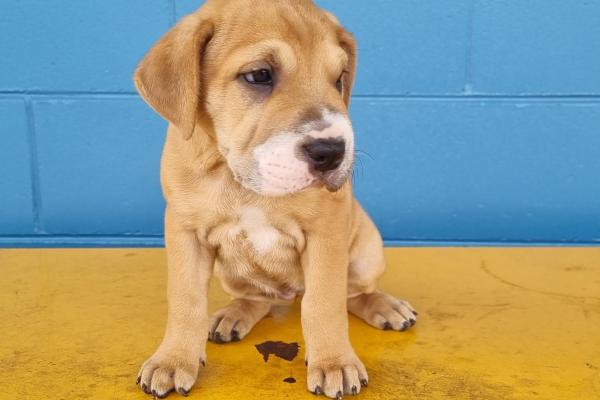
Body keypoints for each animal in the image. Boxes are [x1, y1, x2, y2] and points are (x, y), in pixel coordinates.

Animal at [135, 1, 418, 398]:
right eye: (259, 76)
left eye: (339, 79)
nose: (332, 151)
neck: (240, 180)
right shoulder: (184, 232)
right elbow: (185, 299)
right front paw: (173, 359)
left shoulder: (326, 233)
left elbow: (324, 302)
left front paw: (334, 362)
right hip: (232, 273)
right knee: (261, 298)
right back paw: (236, 313)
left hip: (366, 251)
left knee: (351, 292)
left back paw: (384, 305)